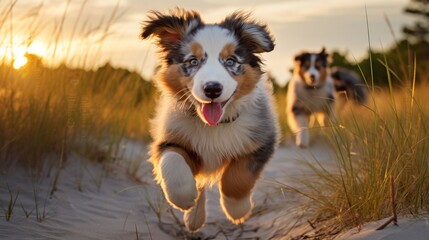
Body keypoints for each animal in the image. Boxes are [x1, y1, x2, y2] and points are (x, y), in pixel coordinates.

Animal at [140, 8, 278, 232]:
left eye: (231, 61)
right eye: (193, 61)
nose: (212, 89)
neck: (214, 126)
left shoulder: (262, 142)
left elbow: (238, 177)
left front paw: (237, 210)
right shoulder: (169, 139)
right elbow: (172, 160)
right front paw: (184, 198)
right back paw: (193, 217)